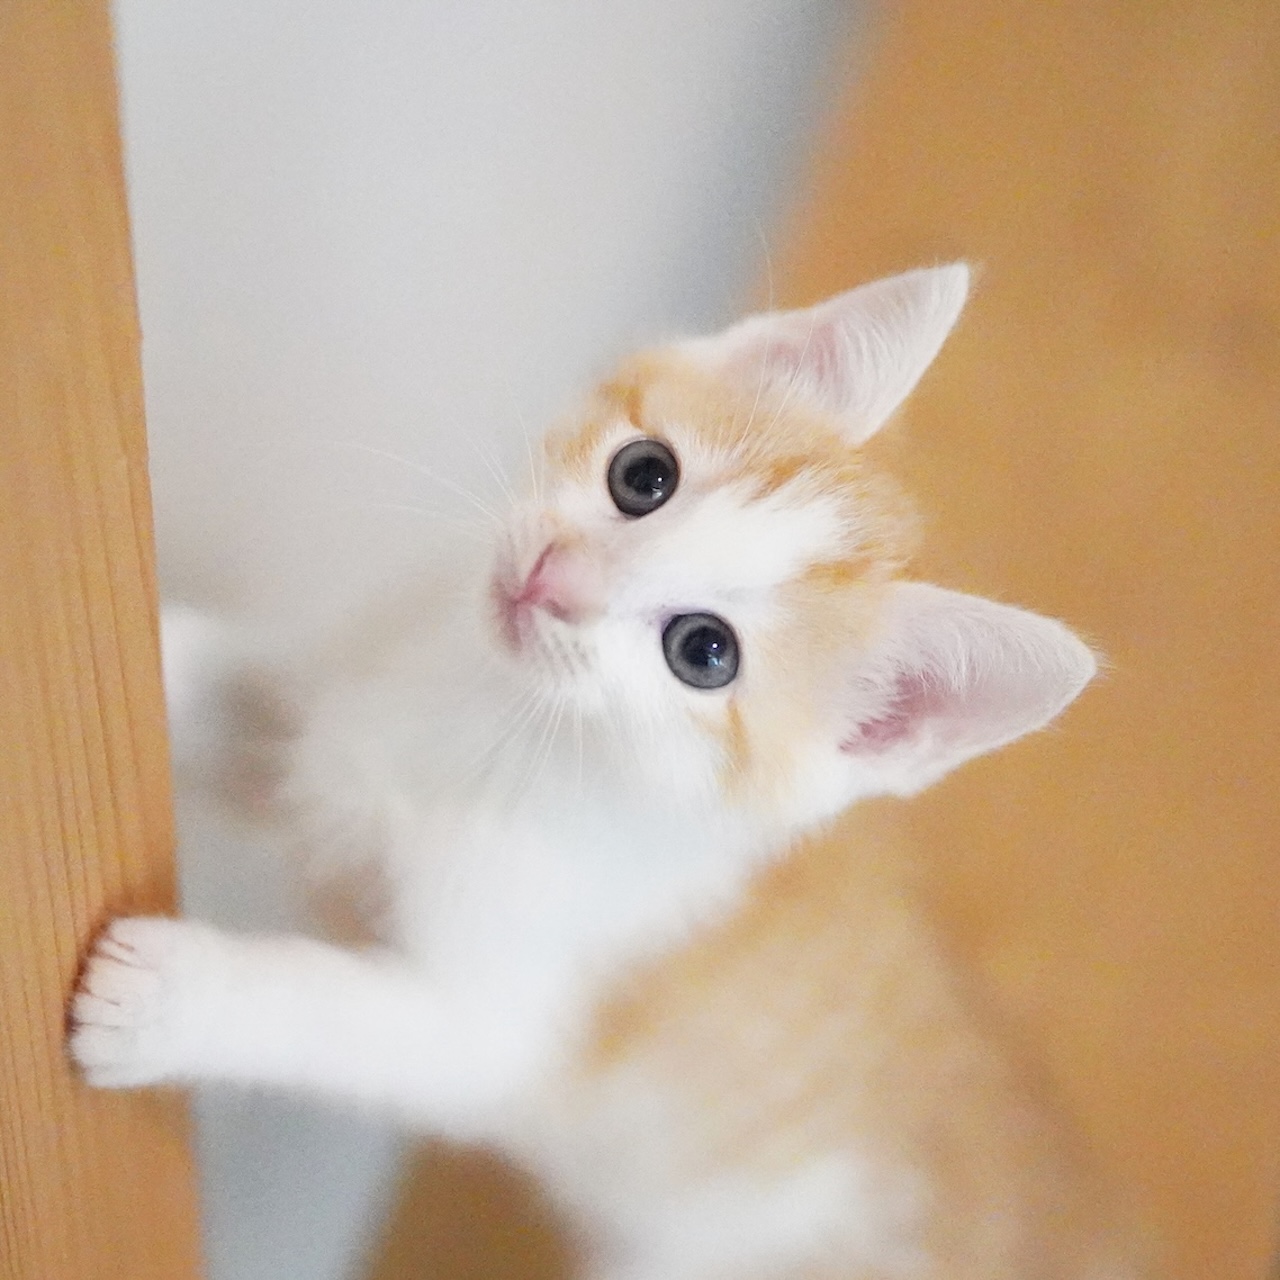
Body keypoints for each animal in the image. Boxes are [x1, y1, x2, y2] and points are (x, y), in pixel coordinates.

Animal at [70, 264, 1133, 1279]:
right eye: (643, 474)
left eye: (703, 652)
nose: (554, 580)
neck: (502, 718)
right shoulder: (333, 730)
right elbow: (261, 712)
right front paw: (156, 652)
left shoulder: (491, 1033)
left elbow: (335, 1011)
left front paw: (163, 998)